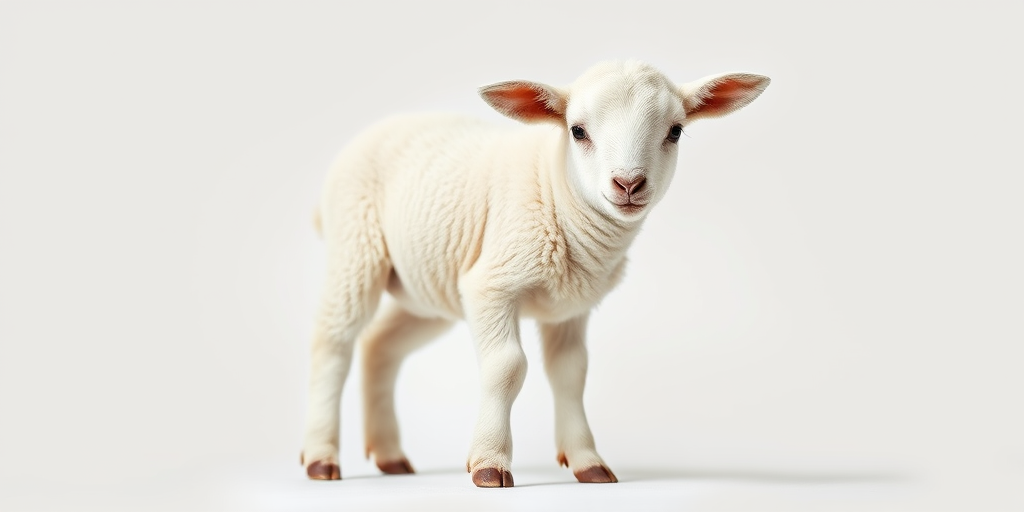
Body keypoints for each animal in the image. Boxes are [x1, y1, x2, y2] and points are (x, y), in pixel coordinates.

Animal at [300, 60, 769, 487]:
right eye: (577, 131)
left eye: (675, 131)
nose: (628, 184)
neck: (558, 192)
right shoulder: (491, 286)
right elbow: (507, 367)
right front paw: (489, 464)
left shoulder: (570, 308)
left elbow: (572, 374)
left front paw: (587, 462)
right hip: (356, 247)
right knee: (334, 341)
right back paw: (321, 457)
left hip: (428, 290)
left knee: (379, 346)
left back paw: (390, 456)